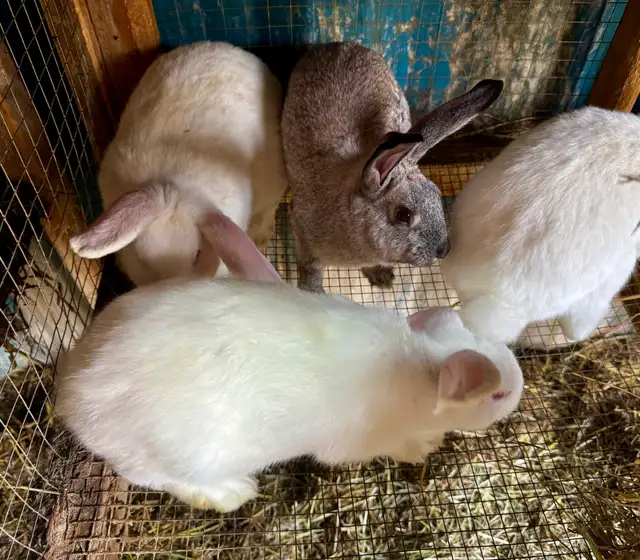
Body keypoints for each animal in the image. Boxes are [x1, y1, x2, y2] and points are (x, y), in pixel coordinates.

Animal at [55, 224, 524, 513]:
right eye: (498, 393)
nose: (519, 384)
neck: (418, 370)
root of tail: (71, 393)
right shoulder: (364, 444)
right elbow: (400, 447)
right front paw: (424, 447)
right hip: (172, 459)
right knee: (163, 480)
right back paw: (234, 493)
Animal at [281, 41, 503, 293]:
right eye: (403, 215)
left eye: (437, 194)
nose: (443, 250)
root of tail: (338, 45)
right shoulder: (302, 236)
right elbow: (310, 269)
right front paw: (312, 292)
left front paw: (382, 277)